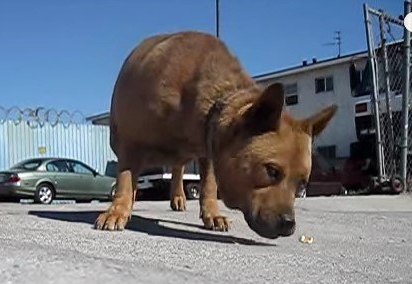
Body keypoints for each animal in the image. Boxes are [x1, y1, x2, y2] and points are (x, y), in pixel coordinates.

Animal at [95, 31, 336, 239]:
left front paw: (213, 214)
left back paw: (178, 196)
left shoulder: (209, 149)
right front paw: (118, 210)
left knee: (178, 167)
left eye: (302, 184)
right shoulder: (130, 142)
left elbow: (209, 185)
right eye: (272, 171)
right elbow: (125, 178)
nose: (289, 224)